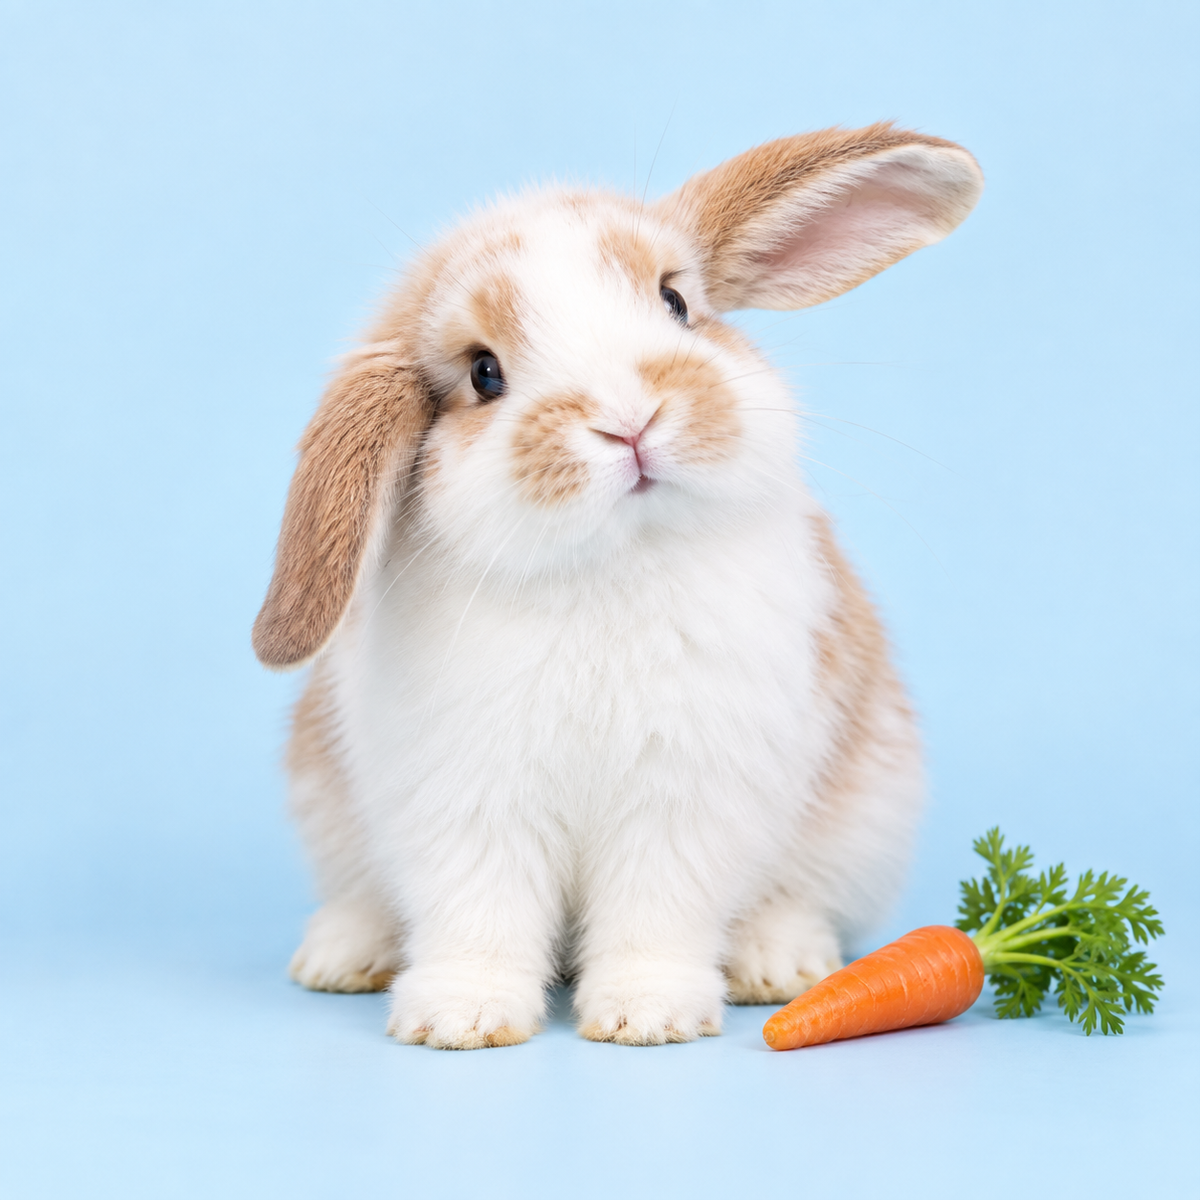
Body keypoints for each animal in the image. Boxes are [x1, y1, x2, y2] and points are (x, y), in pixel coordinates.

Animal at [253, 122, 983, 1048]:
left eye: (674, 302)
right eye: (483, 372)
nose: (629, 419)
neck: (610, 564)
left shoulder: (682, 799)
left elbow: (655, 910)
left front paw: (647, 1014)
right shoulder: (468, 799)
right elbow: (478, 911)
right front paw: (461, 1016)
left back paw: (778, 963)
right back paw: (342, 955)